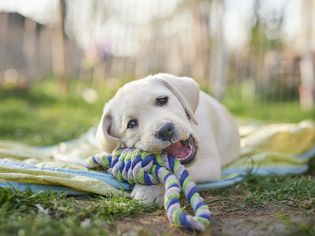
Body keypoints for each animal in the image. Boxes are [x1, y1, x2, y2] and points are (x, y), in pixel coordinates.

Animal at [97, 73, 241, 206]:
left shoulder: (210, 162)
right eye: (131, 124)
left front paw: (151, 190)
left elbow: (180, 171)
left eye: (162, 100)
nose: (165, 131)